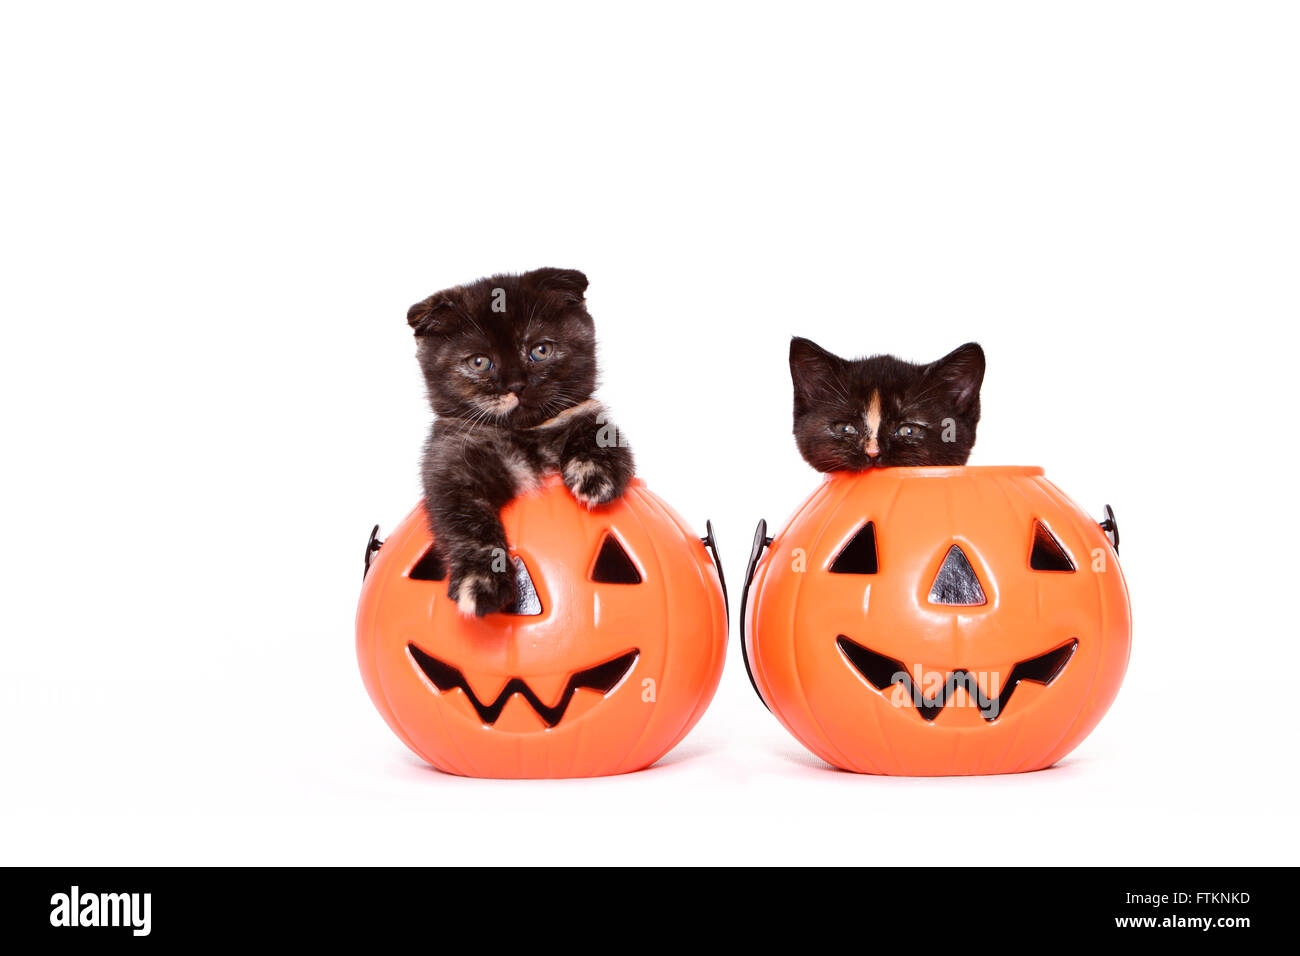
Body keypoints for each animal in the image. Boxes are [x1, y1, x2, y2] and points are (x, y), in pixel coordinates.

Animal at [403, 265, 631, 616]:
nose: (516, 385)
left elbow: (600, 433)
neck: (522, 434)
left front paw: (595, 474)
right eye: (479, 362)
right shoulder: (447, 465)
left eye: (540, 350)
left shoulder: (585, 412)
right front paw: (481, 581)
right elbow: (467, 524)